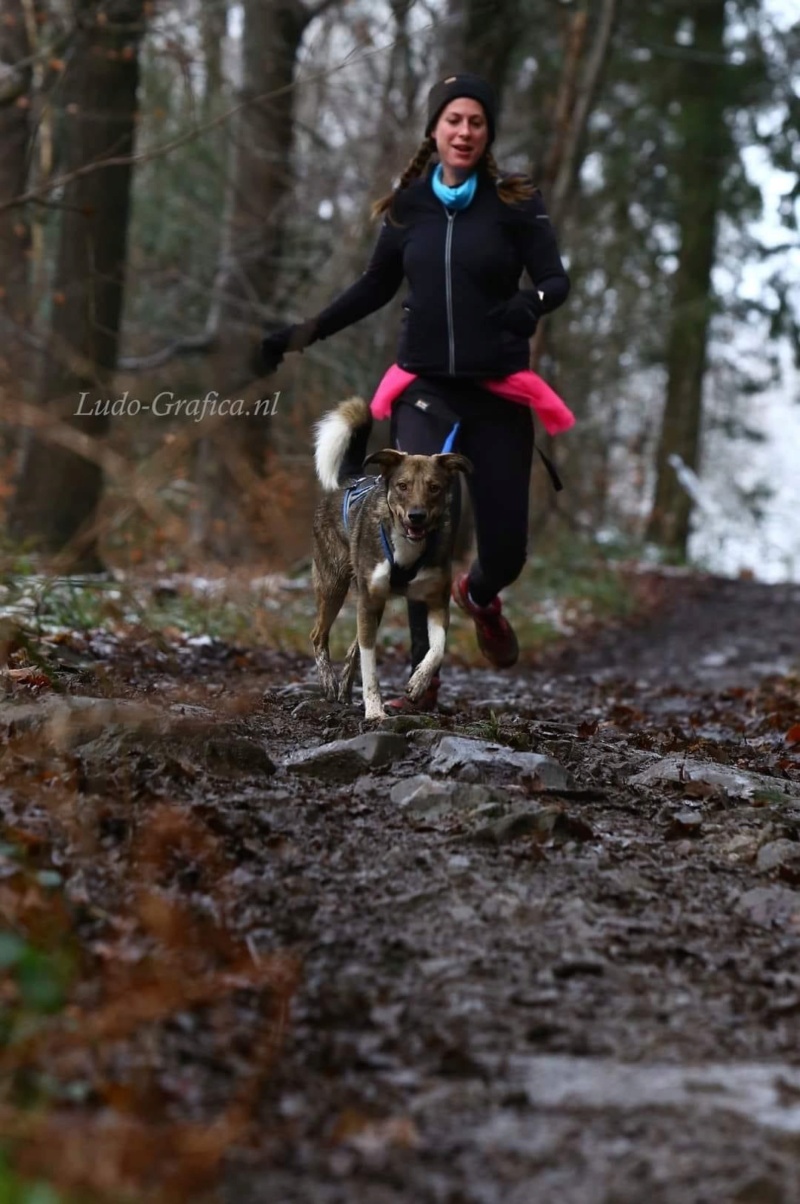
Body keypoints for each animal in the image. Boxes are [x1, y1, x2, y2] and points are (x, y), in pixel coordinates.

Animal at [308, 394, 472, 717]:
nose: (416, 517)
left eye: (434, 487)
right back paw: (330, 684)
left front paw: (418, 683)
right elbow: (371, 667)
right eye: (402, 486)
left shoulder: (436, 600)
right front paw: (374, 711)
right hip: (335, 585)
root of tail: (353, 478)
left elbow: (437, 649)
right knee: (319, 636)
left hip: (372, 602)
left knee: (353, 648)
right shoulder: (368, 601)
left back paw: (344, 688)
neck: (407, 548)